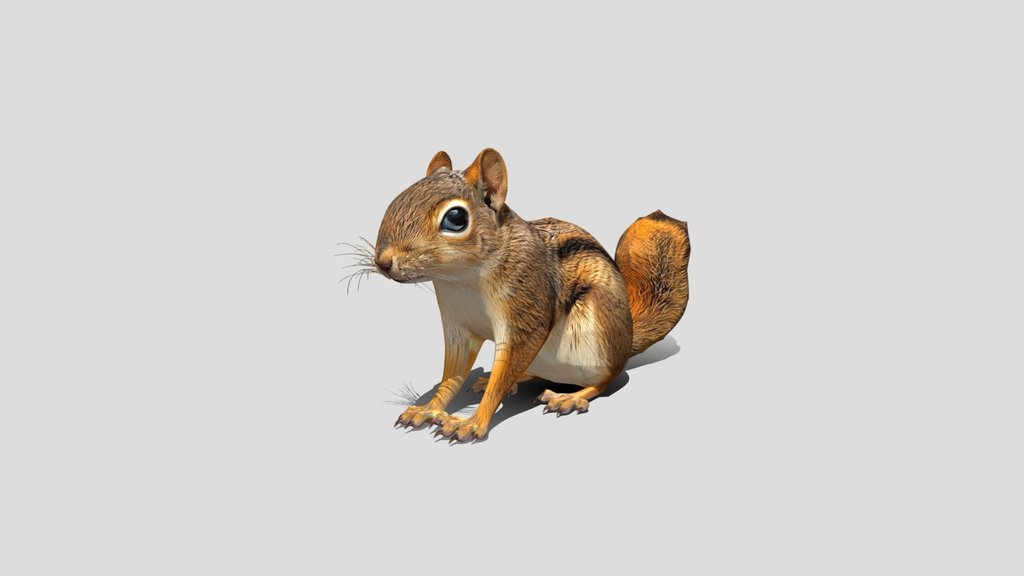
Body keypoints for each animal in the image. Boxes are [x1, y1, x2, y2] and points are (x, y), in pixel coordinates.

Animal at [371, 148, 690, 443]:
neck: (462, 281)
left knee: (605, 379)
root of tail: (627, 339)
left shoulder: (526, 312)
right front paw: (428, 409)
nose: (383, 262)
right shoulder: (458, 327)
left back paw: (570, 397)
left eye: (456, 218)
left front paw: (472, 423)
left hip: (598, 338)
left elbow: (503, 373)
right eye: (398, 199)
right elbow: (452, 376)